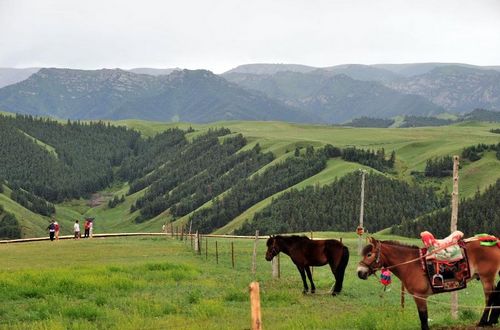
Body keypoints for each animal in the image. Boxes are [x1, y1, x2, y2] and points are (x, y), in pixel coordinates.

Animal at [358, 235, 498, 330]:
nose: (360, 272)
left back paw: (483, 322)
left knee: (489, 298)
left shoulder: (420, 296)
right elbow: (423, 317)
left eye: (369, 254)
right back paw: (491, 321)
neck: (411, 263)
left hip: (486, 277)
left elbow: (423, 317)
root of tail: (492, 241)